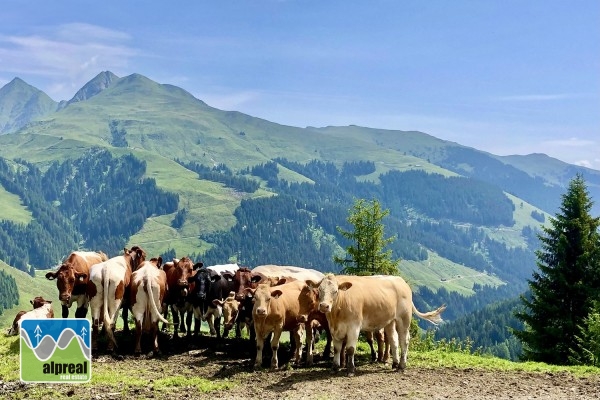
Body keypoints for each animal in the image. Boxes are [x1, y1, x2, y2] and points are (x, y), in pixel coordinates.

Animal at [310, 272, 446, 376]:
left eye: (335, 291)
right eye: (319, 290)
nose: (324, 306)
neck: (337, 314)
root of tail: (400, 280)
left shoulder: (354, 326)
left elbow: (350, 349)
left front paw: (350, 370)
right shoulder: (334, 328)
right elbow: (337, 348)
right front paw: (335, 368)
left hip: (404, 318)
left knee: (404, 340)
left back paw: (402, 365)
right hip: (390, 321)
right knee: (393, 340)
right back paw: (395, 363)